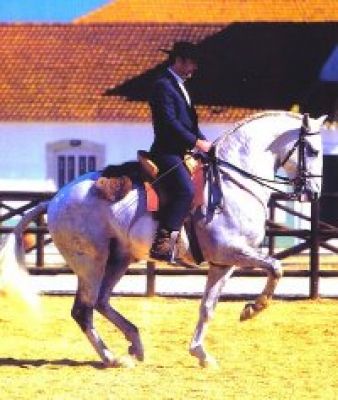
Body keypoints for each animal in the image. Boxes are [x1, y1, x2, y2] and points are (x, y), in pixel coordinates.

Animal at [0, 111, 328, 368]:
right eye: (312, 150)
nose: (313, 194)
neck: (235, 183)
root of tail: (55, 199)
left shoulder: (224, 262)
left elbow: (208, 307)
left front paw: (201, 354)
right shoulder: (233, 251)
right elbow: (276, 267)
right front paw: (253, 308)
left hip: (119, 258)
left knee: (102, 302)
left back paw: (135, 344)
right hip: (91, 263)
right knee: (84, 309)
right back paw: (113, 358)